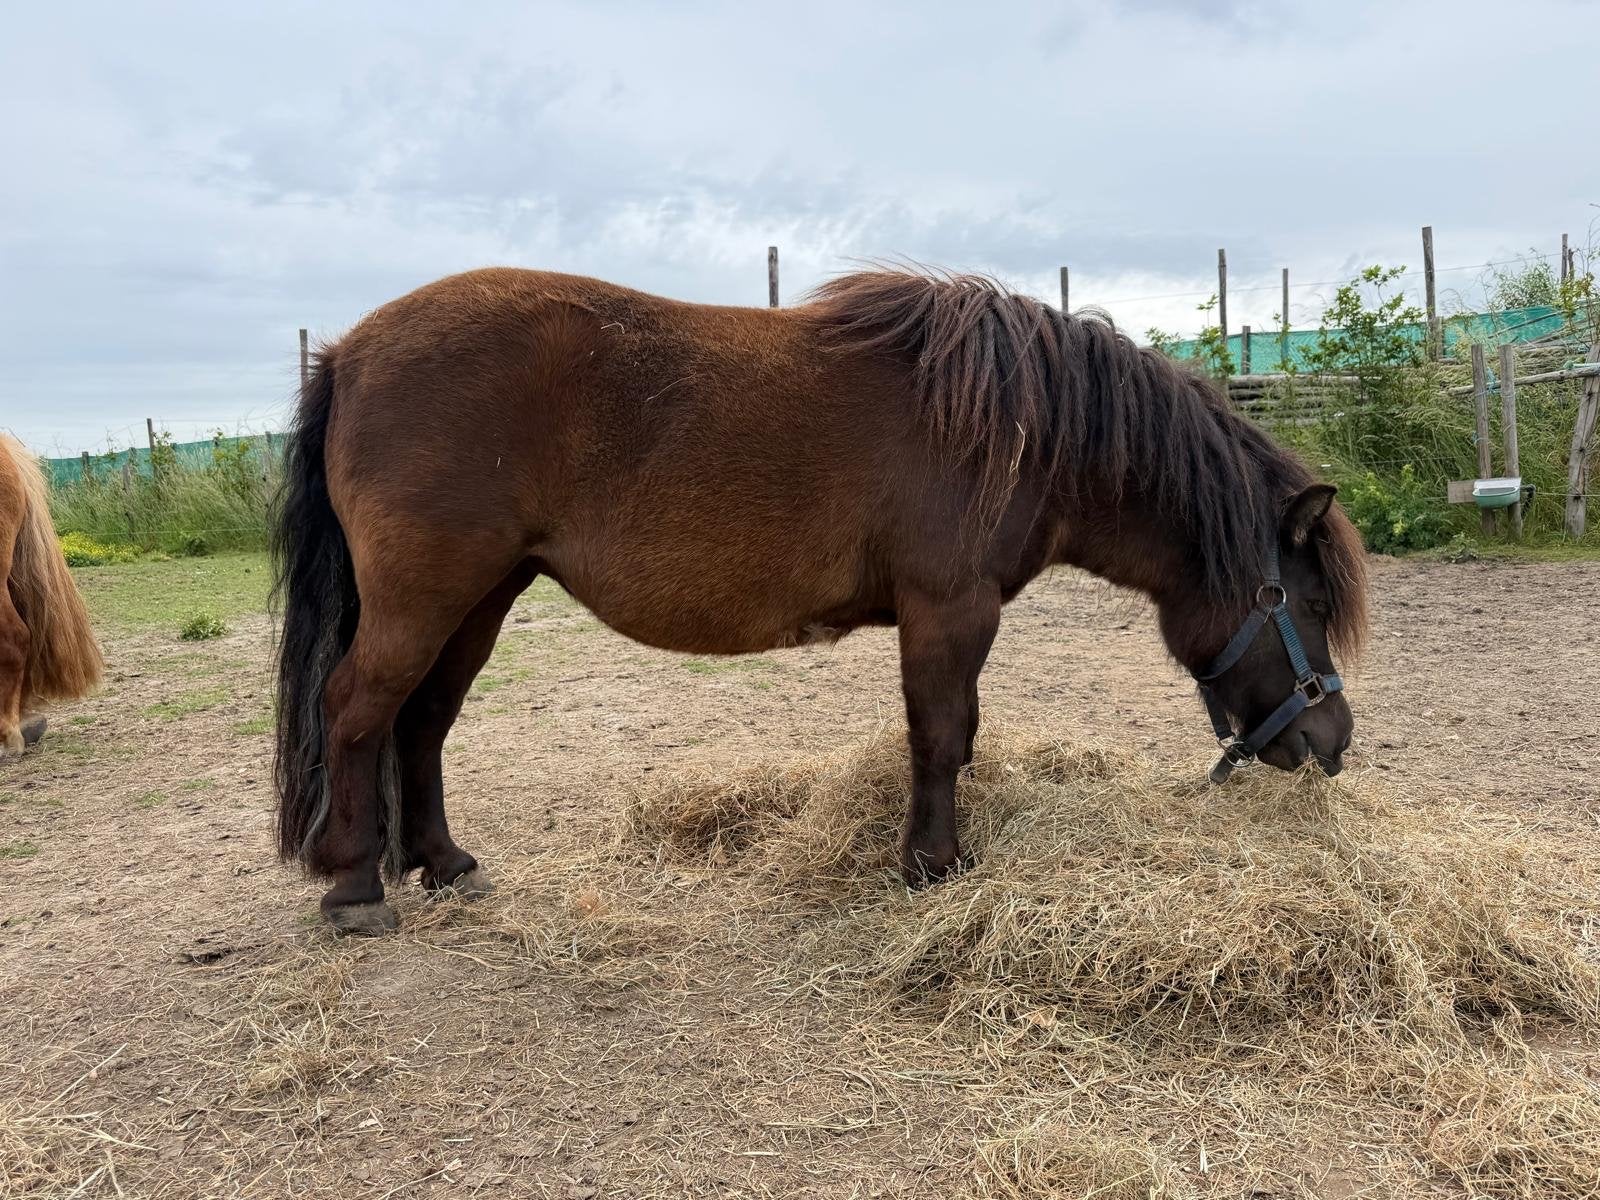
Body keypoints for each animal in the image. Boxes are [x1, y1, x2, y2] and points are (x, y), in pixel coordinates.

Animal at [272, 267, 1369, 934]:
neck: (1019, 425)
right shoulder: (949, 610)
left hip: (482, 598)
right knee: (358, 712)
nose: (1332, 743)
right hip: (428, 597)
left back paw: (442, 862)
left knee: (422, 722)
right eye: (1304, 601)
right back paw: (356, 886)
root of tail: (349, 351)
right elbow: (941, 735)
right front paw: (932, 863)